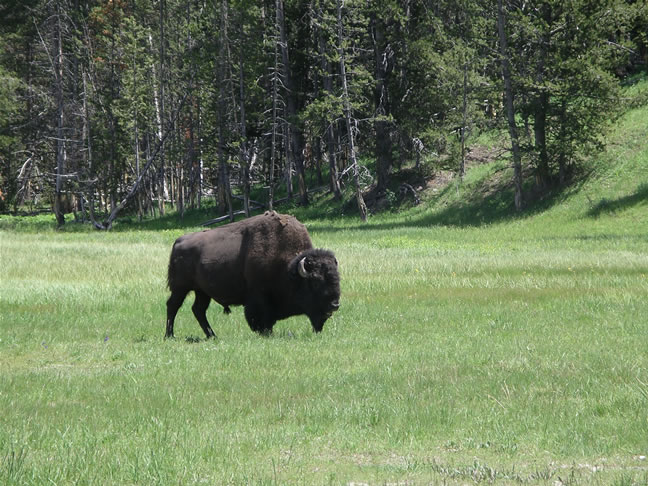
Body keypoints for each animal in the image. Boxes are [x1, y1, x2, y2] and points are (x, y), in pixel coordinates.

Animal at [165, 211, 340, 338]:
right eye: (315, 282)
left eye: (337, 278)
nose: (335, 304)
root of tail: (178, 242)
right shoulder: (258, 298)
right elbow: (259, 318)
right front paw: (265, 333)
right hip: (180, 287)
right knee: (173, 305)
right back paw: (169, 335)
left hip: (202, 291)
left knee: (198, 310)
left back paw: (212, 336)